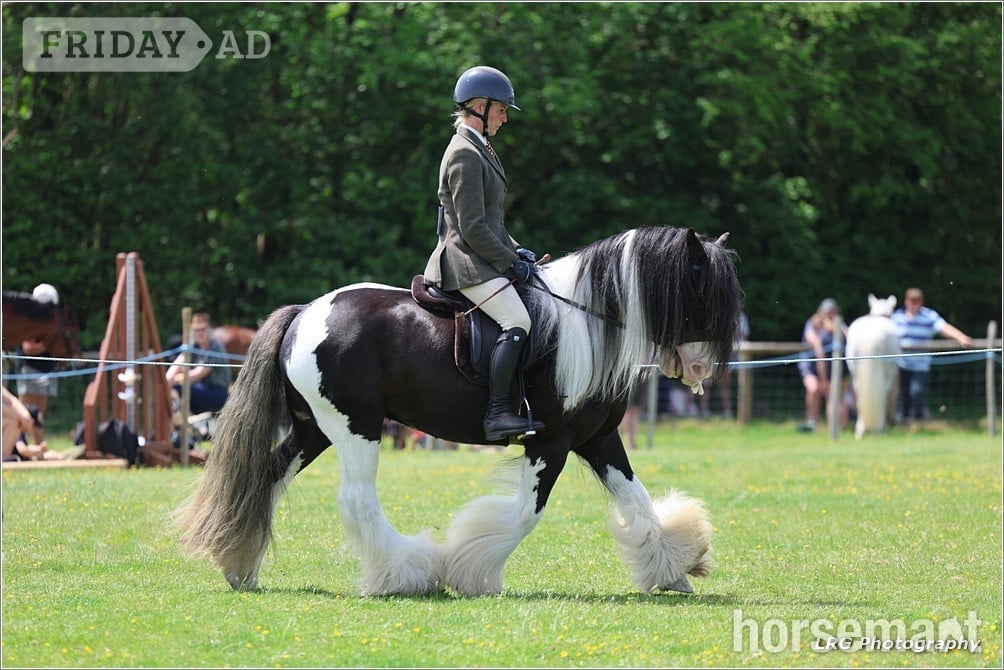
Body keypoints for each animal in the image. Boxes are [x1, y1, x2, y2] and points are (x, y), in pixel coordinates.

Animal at [175, 226, 742, 596]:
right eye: (701, 295)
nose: (699, 370)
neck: (585, 326)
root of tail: (304, 313)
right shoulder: (551, 442)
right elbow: (525, 514)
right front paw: (471, 574)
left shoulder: (598, 438)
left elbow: (637, 500)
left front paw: (674, 568)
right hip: (357, 428)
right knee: (357, 499)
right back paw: (406, 575)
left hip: (314, 429)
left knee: (266, 479)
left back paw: (240, 568)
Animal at [846, 294, 901, 439]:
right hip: (887, 372)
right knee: (884, 395)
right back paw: (879, 428)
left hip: (855, 373)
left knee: (859, 397)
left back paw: (860, 430)